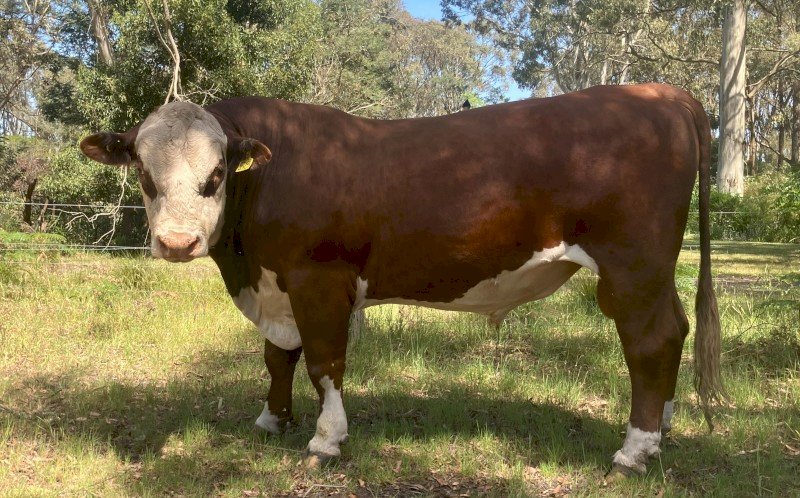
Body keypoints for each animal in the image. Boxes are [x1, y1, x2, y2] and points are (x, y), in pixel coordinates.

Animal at [80, 83, 723, 477]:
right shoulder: (275, 286)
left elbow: (324, 362)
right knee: (674, 333)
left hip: (633, 265)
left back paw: (633, 451)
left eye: (215, 174)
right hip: (652, 272)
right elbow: (277, 356)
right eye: (144, 173)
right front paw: (271, 420)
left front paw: (325, 441)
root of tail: (660, 92)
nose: (177, 243)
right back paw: (660, 428)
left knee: (650, 341)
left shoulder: (319, 279)